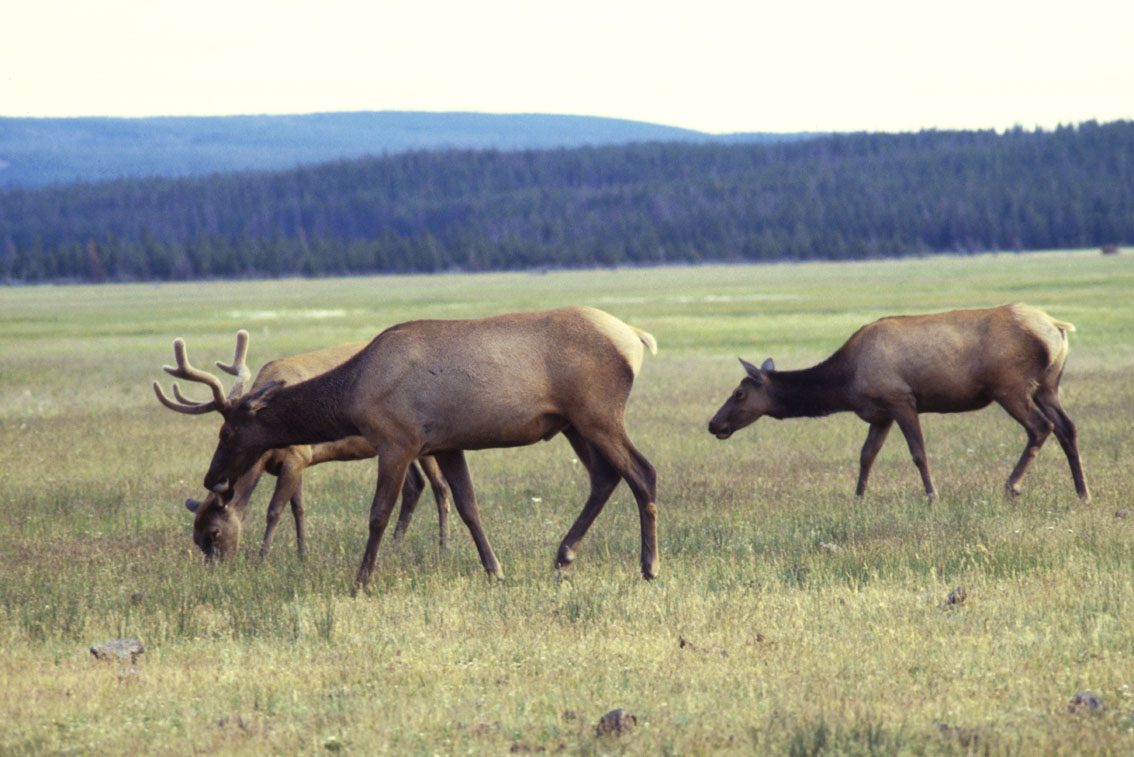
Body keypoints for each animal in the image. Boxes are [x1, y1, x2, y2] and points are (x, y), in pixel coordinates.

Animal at [154, 332, 451, 561]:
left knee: (439, 485)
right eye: (195, 537)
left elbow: (274, 511)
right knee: (414, 486)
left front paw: (262, 558)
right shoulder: (293, 463)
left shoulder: (297, 456)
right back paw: (395, 544)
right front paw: (302, 554)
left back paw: (443, 545)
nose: (215, 569)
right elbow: (298, 508)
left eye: (215, 532)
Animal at [197, 306, 659, 588]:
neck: (352, 393)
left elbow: (378, 515)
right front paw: (495, 572)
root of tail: (637, 337)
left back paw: (649, 565)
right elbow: (469, 508)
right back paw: (564, 556)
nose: (211, 477)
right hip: (573, 423)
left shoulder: (397, 440)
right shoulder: (447, 445)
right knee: (605, 476)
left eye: (227, 433)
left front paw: (362, 579)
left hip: (598, 412)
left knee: (642, 472)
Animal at [709, 304, 1090, 503]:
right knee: (1068, 427)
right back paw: (1082, 492)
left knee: (1041, 427)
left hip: (1010, 385)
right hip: (1048, 385)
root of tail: (1056, 327)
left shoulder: (901, 399)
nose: (714, 424)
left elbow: (918, 453)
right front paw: (858, 499)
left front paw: (933, 497)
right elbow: (866, 456)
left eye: (739, 393)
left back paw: (1012, 486)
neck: (846, 384)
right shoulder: (880, 414)